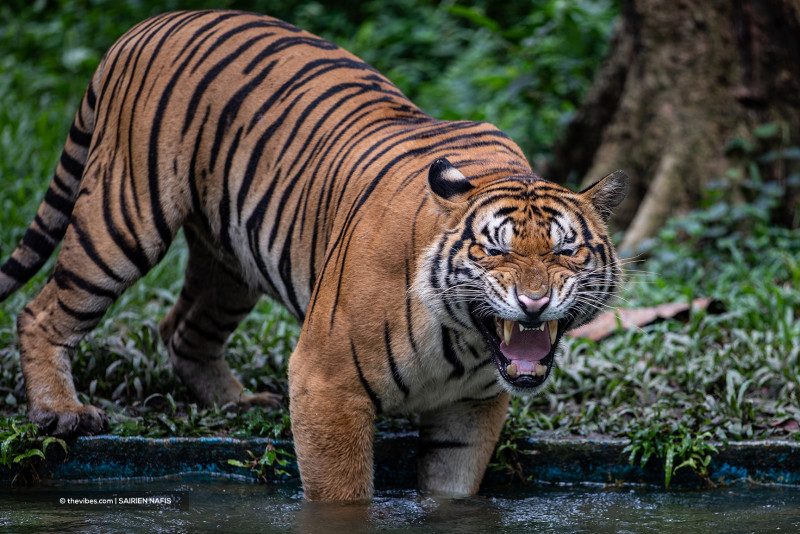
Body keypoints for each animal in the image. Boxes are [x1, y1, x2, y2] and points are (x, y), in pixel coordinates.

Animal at [0, 10, 627, 500]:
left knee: (182, 329)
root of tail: (148, 24)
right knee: (41, 311)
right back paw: (62, 412)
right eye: (494, 251)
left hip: (232, 264)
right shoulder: (326, 383)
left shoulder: (471, 408)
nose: (533, 303)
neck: (465, 342)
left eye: (566, 250)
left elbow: (451, 490)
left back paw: (237, 403)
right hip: (122, 216)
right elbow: (341, 494)